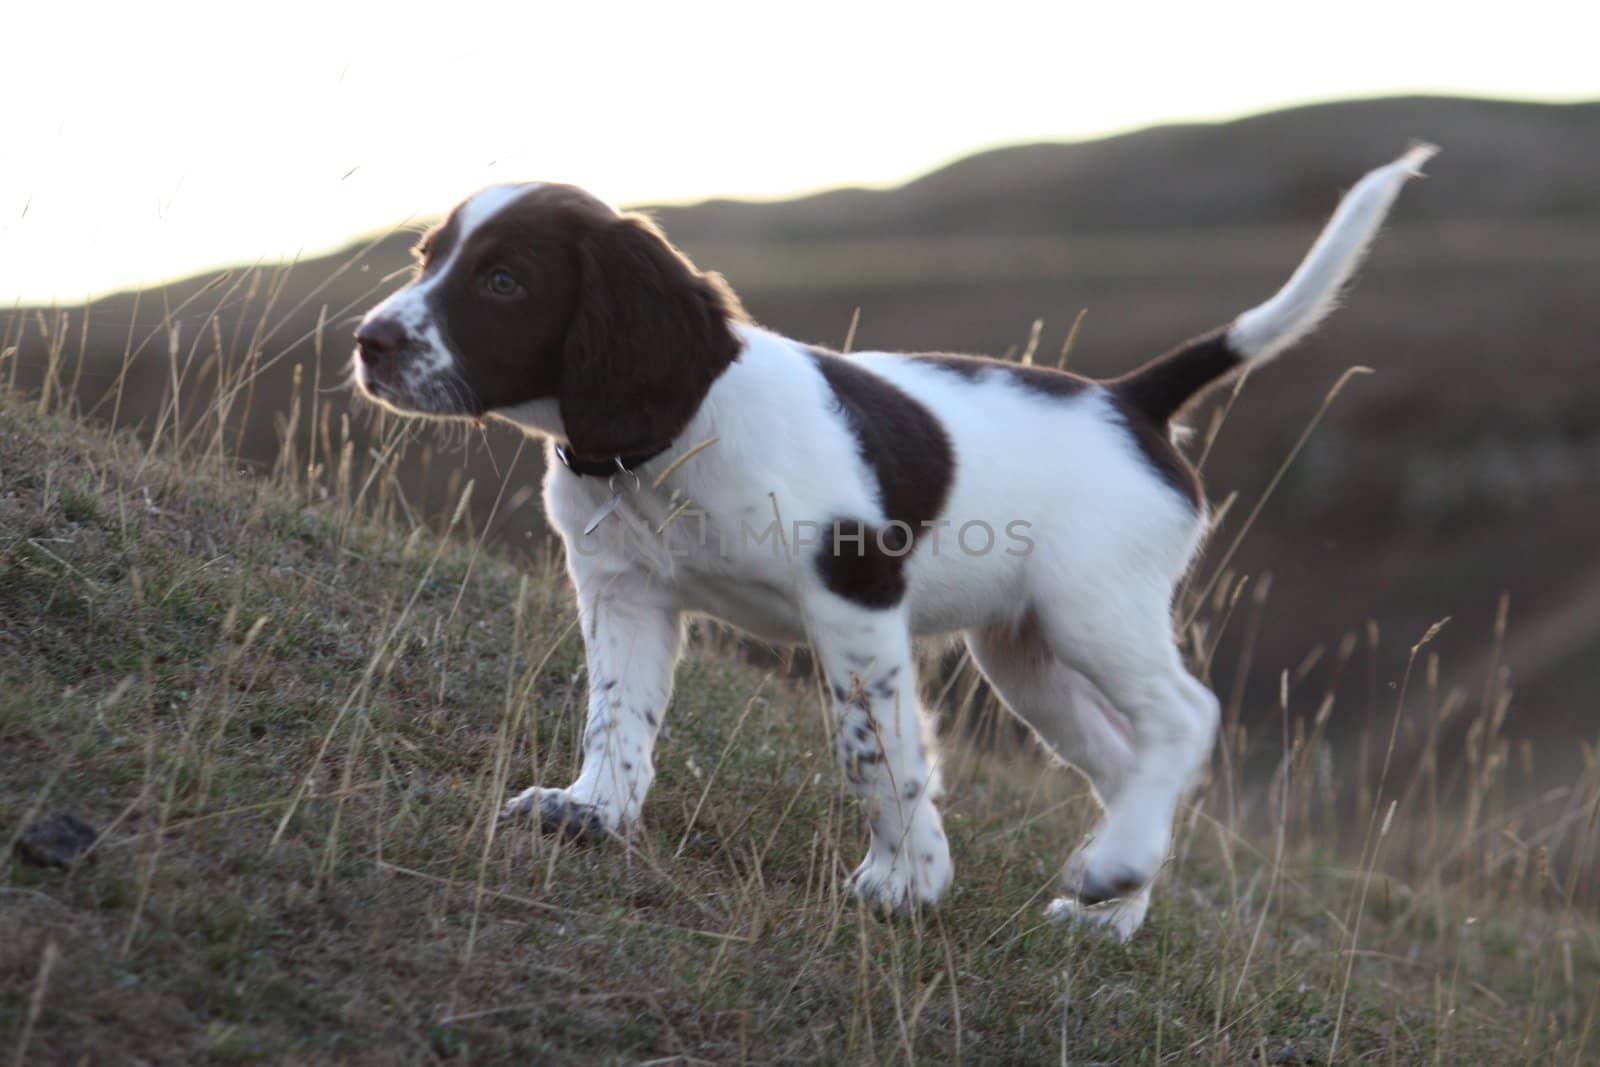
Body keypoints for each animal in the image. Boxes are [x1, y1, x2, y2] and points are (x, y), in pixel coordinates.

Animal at [353, 147, 1440, 934]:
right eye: (424, 260)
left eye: (504, 280)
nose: (369, 340)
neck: (668, 441)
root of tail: (1129, 399)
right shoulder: (623, 588)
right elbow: (617, 712)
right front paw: (593, 810)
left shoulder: (853, 599)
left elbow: (874, 749)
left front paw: (908, 878)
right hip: (1025, 653)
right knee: (1126, 754)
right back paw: (1110, 905)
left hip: (1093, 608)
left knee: (1185, 715)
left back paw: (1115, 864)